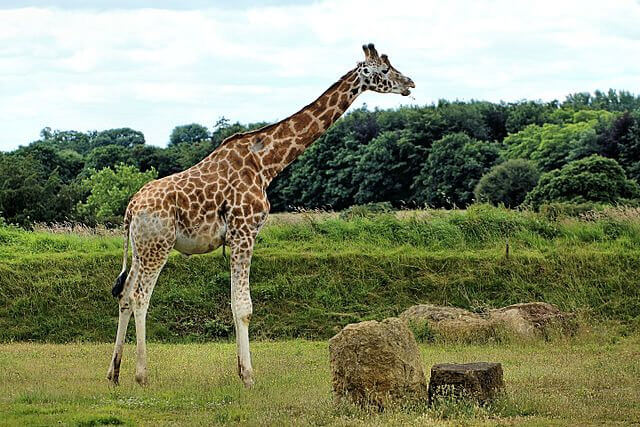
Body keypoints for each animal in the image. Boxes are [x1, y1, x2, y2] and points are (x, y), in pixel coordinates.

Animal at [105, 43, 416, 388]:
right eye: (385, 70)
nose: (410, 84)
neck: (266, 163)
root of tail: (132, 208)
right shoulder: (245, 230)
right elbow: (243, 307)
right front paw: (248, 377)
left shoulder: (239, 235)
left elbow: (235, 303)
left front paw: (241, 370)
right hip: (158, 246)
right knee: (140, 296)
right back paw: (141, 375)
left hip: (140, 248)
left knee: (124, 294)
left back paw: (114, 373)